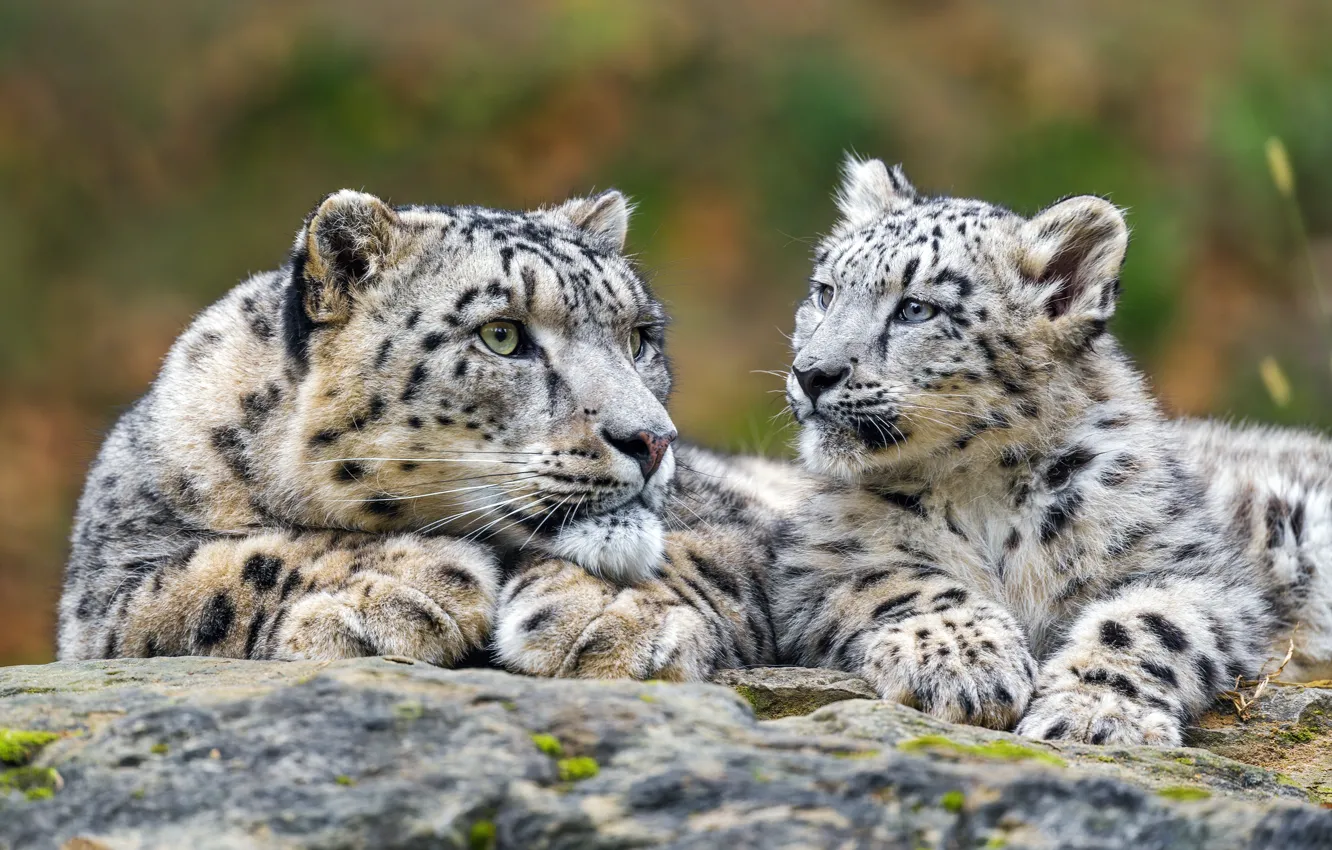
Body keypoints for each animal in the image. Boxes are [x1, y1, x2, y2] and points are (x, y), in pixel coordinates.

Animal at [769, 156, 1332, 746]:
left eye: (916, 309)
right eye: (825, 292)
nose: (811, 373)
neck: (980, 488)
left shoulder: (1199, 571)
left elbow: (1148, 622)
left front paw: (1094, 714)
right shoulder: (819, 561)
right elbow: (898, 581)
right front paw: (963, 662)